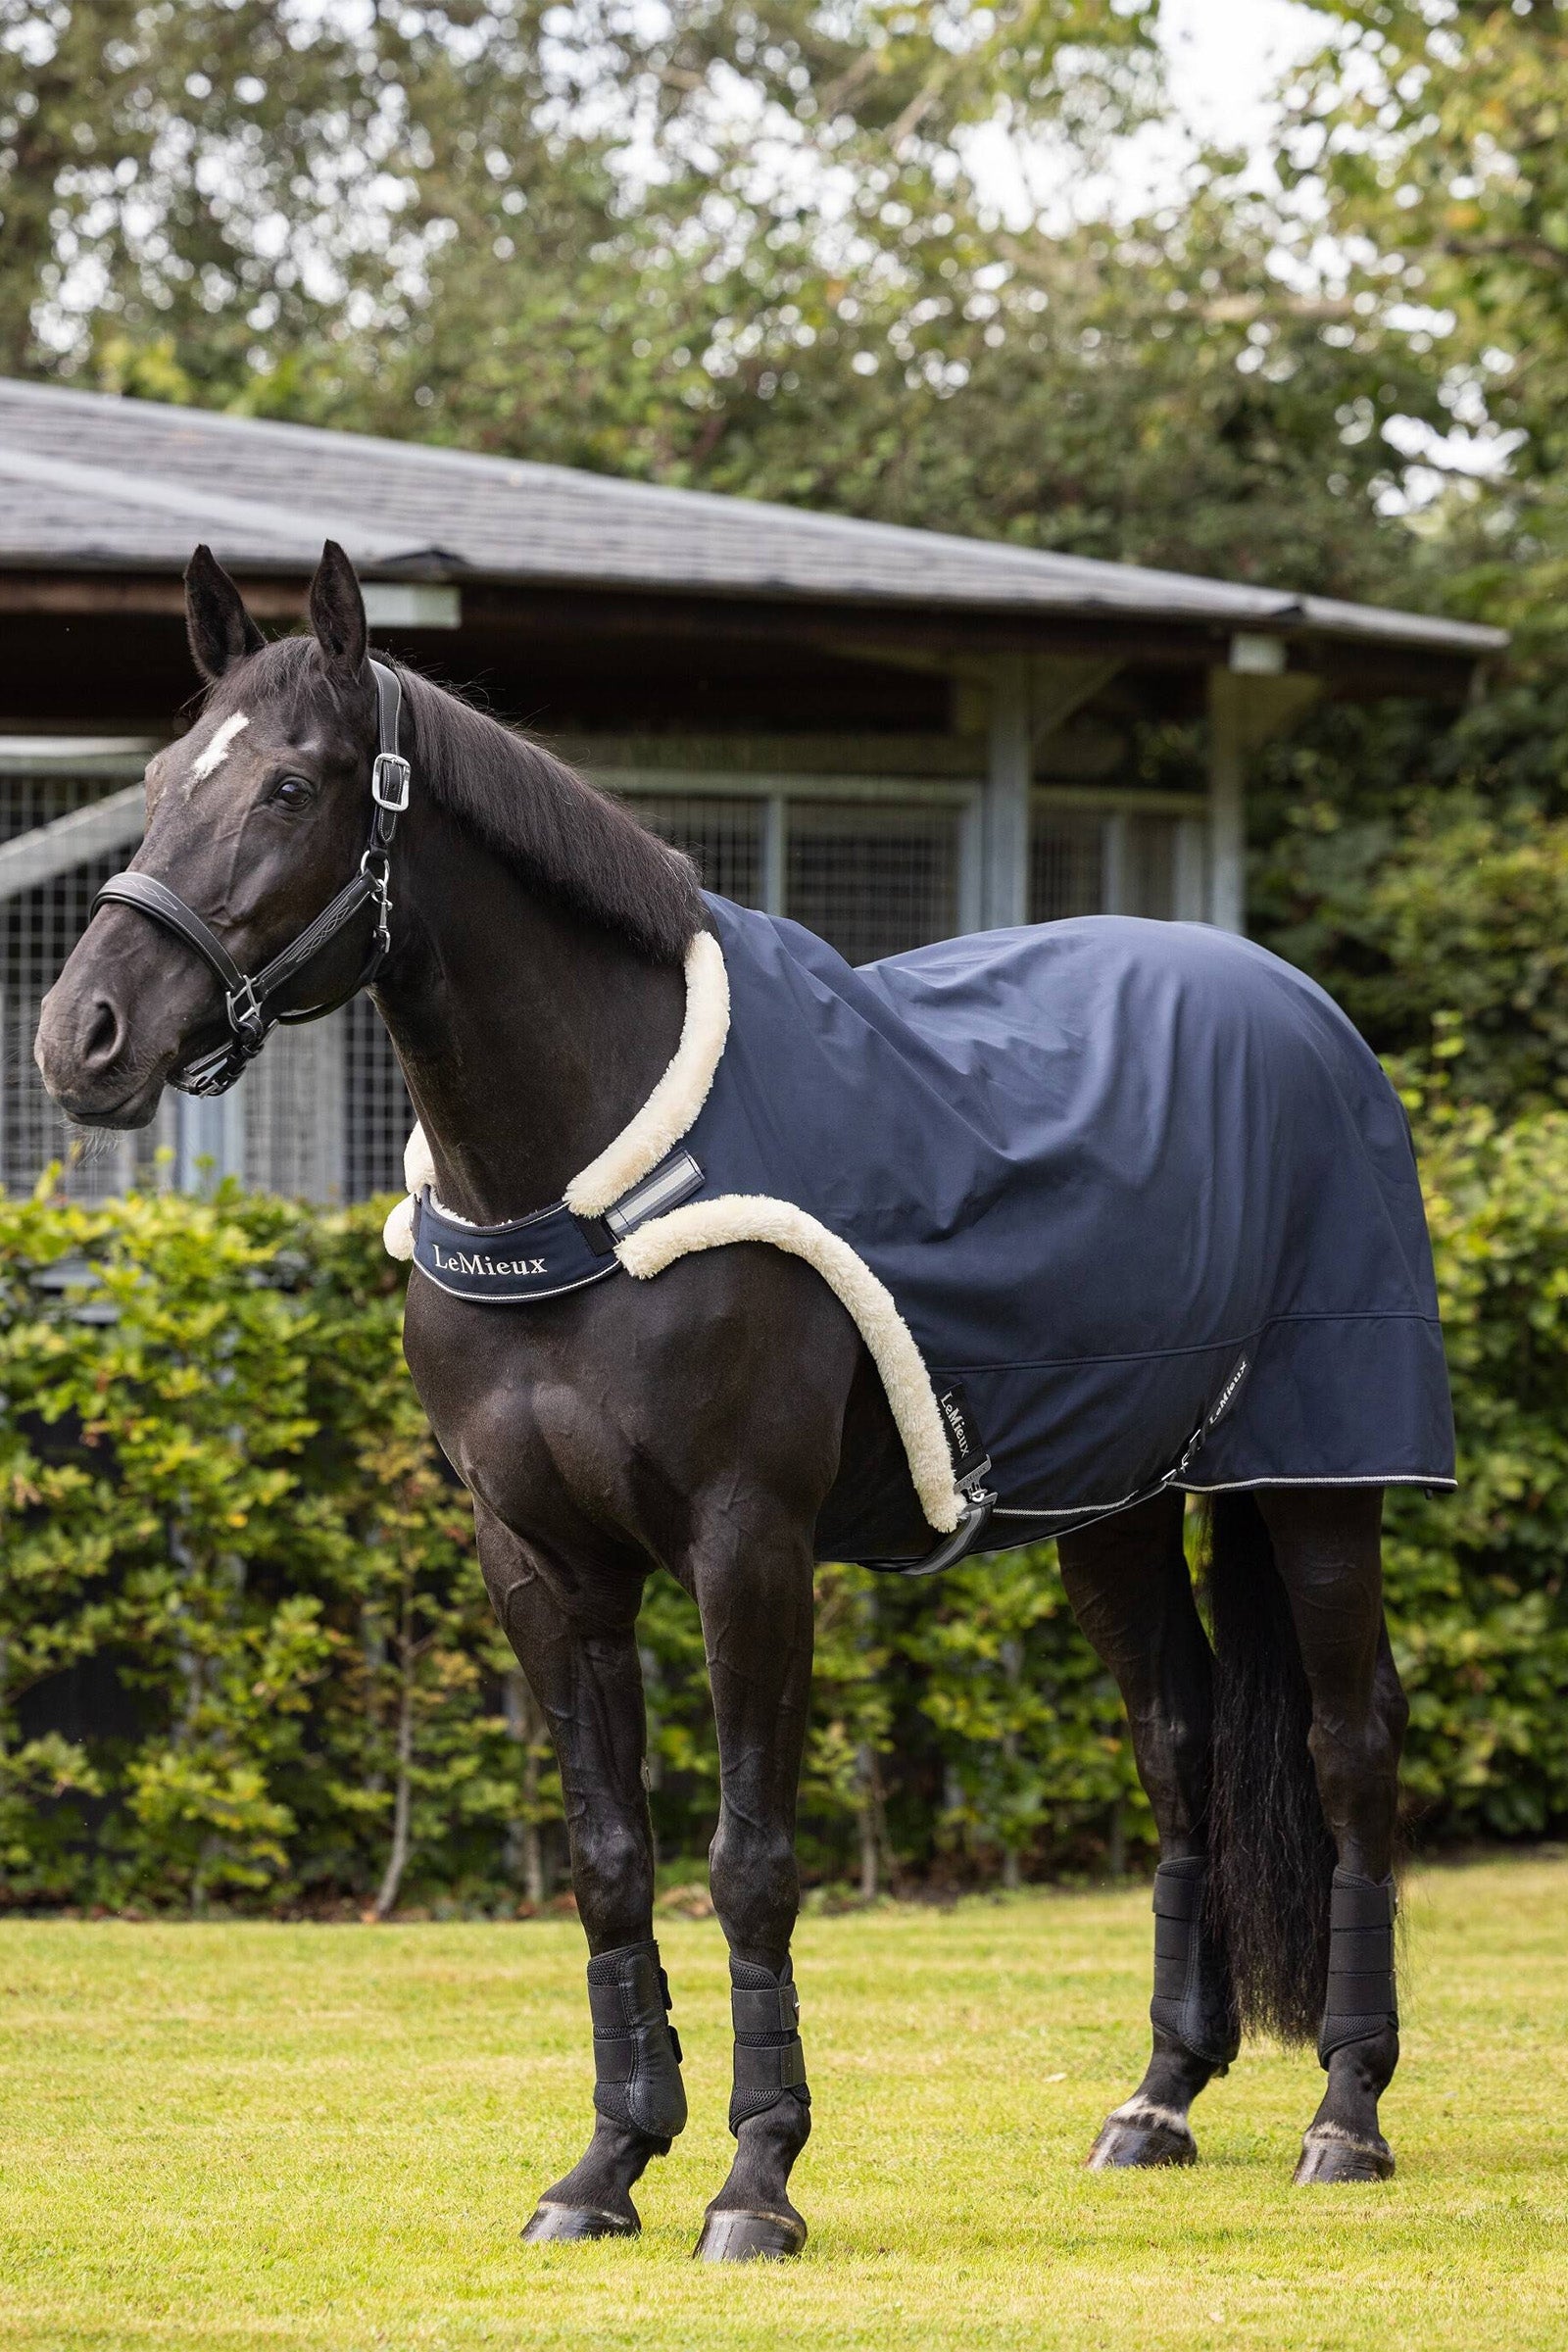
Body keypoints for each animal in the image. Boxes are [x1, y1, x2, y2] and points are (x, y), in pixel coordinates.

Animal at [36, 541, 1435, 2261]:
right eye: (159, 778)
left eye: (290, 786)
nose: (82, 1037)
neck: (584, 1183)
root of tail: (1298, 1009)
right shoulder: (542, 1563)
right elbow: (610, 1863)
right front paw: (604, 2167)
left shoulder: (745, 1545)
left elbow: (751, 1860)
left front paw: (756, 2179)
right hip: (1111, 1501)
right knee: (1179, 1745)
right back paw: (1161, 2097)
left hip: (1320, 1474)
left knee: (1349, 1743)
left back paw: (1347, 2113)